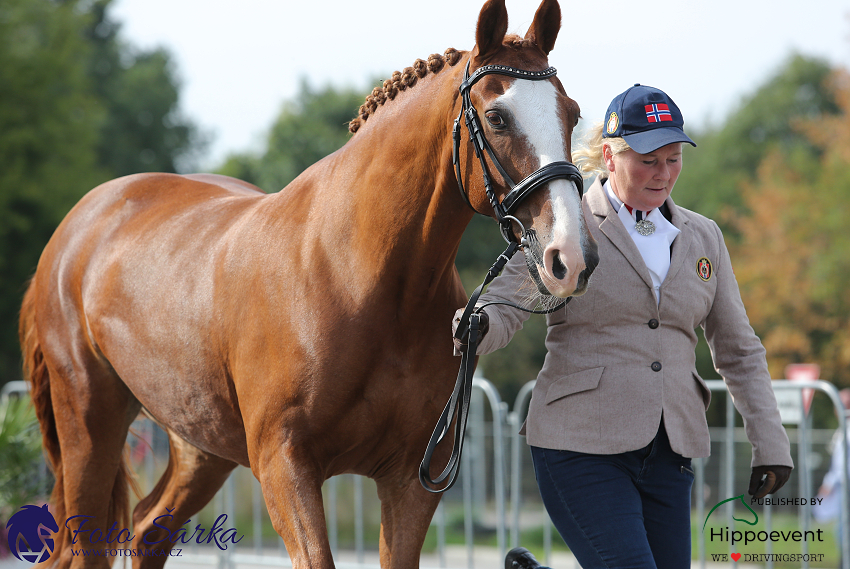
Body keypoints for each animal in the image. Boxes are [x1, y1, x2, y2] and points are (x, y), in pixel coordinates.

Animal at [16, 2, 592, 564]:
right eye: (496, 116)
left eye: (571, 113)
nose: (570, 255)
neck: (360, 279)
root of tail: (79, 225)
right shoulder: (285, 466)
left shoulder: (410, 481)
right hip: (89, 422)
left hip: (199, 441)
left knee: (145, 530)